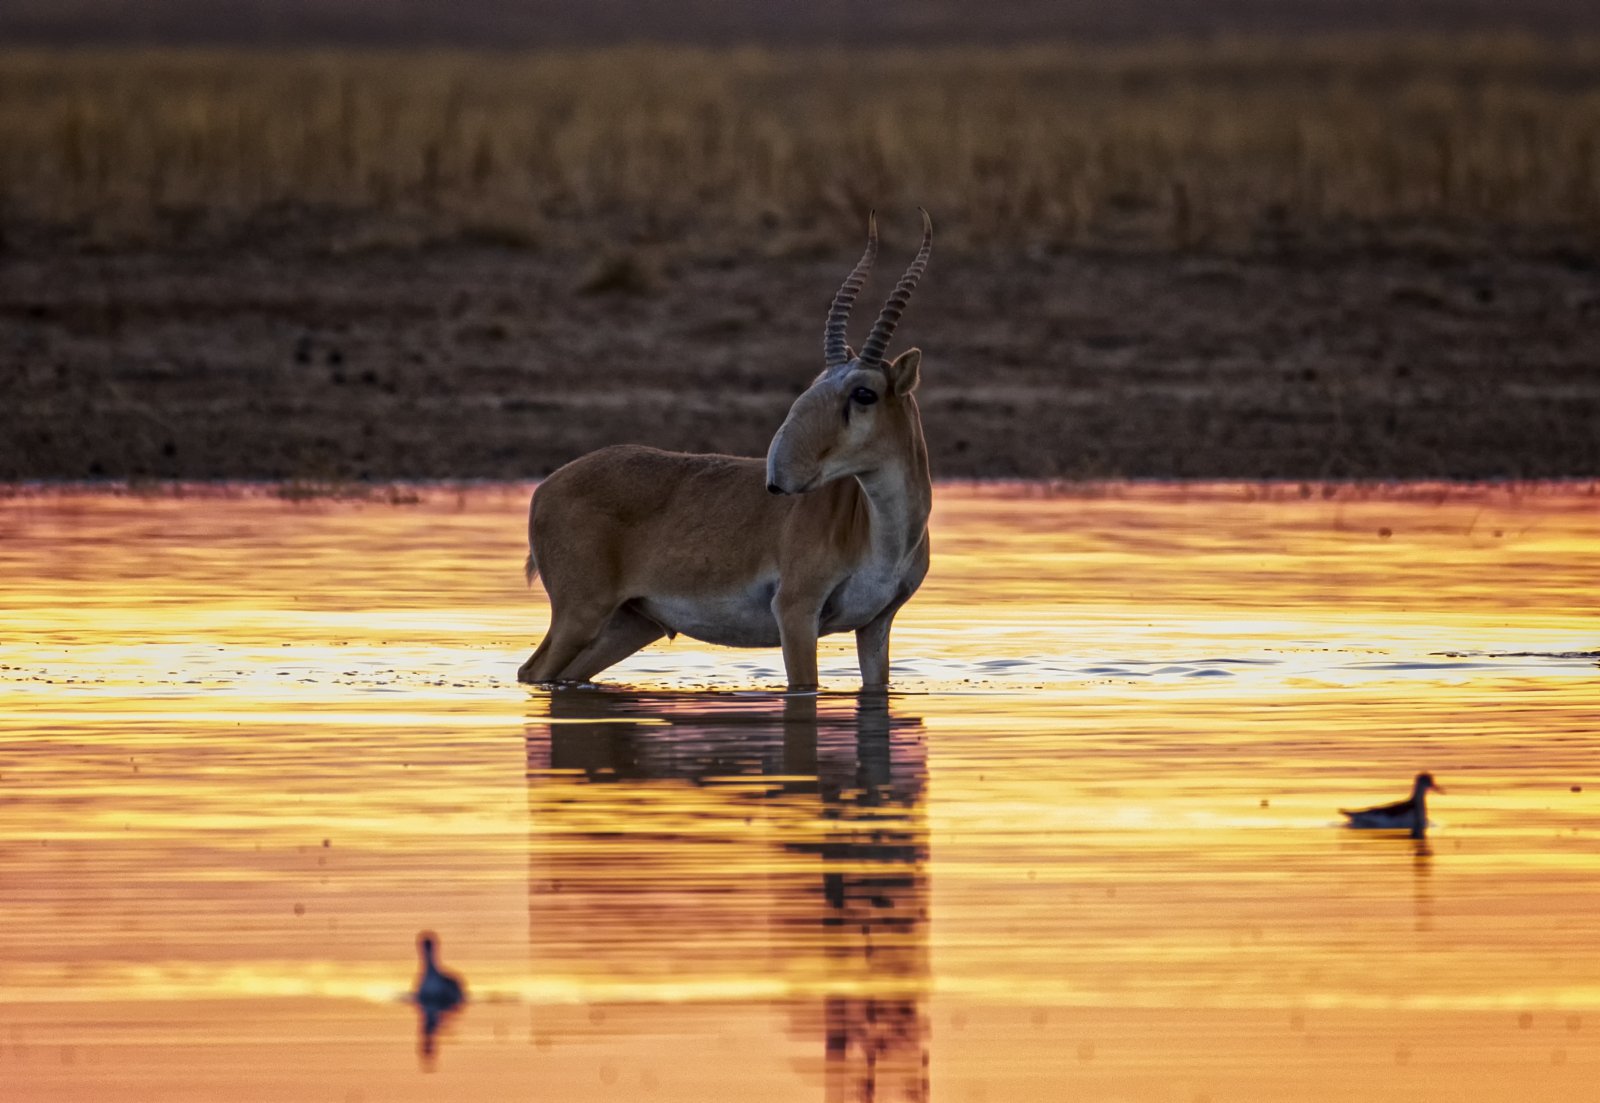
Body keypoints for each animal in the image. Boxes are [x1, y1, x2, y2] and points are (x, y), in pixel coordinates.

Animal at [518, 211, 934, 691]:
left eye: (864, 393)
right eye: (817, 383)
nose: (779, 477)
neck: (877, 531)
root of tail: (544, 488)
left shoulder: (876, 624)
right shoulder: (796, 613)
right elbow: (804, 686)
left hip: (630, 623)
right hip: (581, 615)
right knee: (532, 672)